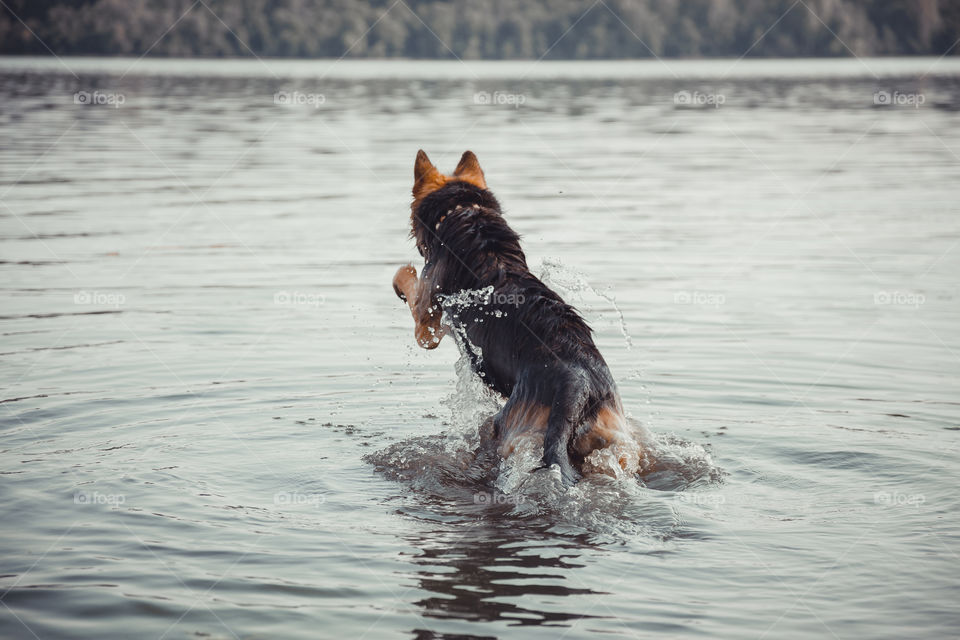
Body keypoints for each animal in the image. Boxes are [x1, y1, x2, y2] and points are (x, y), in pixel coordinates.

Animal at [394, 149, 640, 480]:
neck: (465, 212)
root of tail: (577, 386)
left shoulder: (427, 326)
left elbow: (406, 278)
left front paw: (401, 277)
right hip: (618, 441)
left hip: (506, 427)